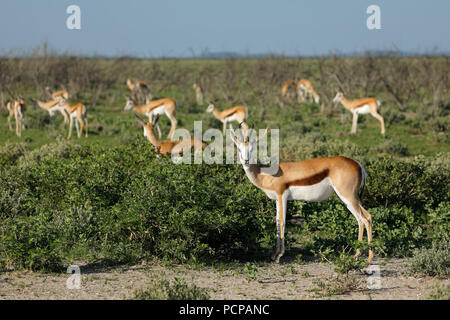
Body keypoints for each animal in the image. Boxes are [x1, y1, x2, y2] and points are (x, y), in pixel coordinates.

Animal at [229, 124, 372, 264]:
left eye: (252, 148)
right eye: (239, 148)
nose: (246, 161)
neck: (266, 175)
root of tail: (359, 164)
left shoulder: (282, 196)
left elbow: (282, 222)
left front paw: (279, 256)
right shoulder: (277, 199)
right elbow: (277, 222)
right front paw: (273, 255)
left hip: (348, 196)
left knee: (364, 218)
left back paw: (368, 258)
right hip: (349, 198)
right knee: (364, 218)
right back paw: (357, 256)